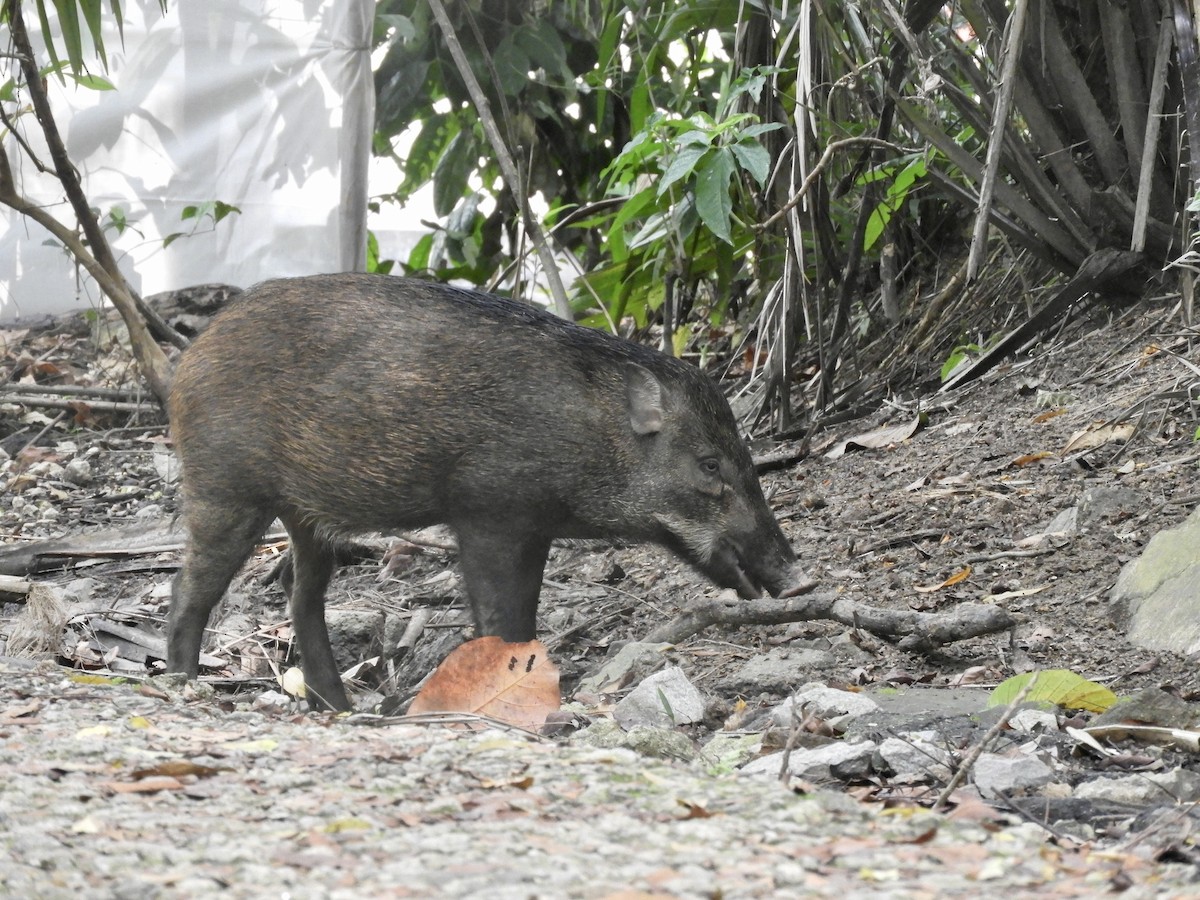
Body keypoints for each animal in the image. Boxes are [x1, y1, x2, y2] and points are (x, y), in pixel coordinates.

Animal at [166, 274, 804, 710]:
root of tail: (191, 355)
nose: (800, 578)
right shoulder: (489, 514)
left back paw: (342, 709)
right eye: (709, 463)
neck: (592, 436)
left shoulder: (534, 527)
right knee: (189, 587)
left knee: (301, 595)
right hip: (226, 488)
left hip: (305, 516)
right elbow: (504, 613)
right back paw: (183, 682)